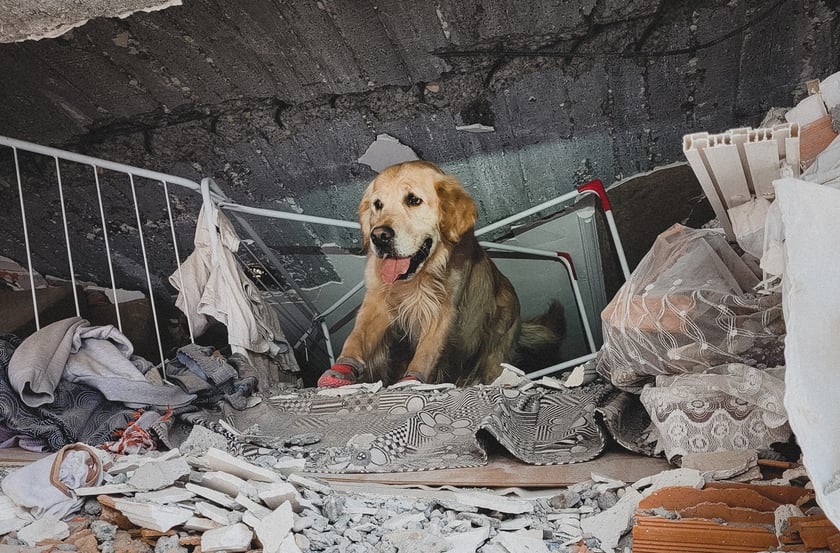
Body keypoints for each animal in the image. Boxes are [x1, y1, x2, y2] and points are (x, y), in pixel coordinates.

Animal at [316, 160, 564, 386]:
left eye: (413, 200)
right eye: (378, 204)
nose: (379, 237)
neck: (416, 279)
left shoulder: (442, 310)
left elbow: (425, 354)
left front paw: (411, 381)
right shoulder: (377, 300)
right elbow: (357, 337)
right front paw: (341, 370)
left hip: (495, 355)